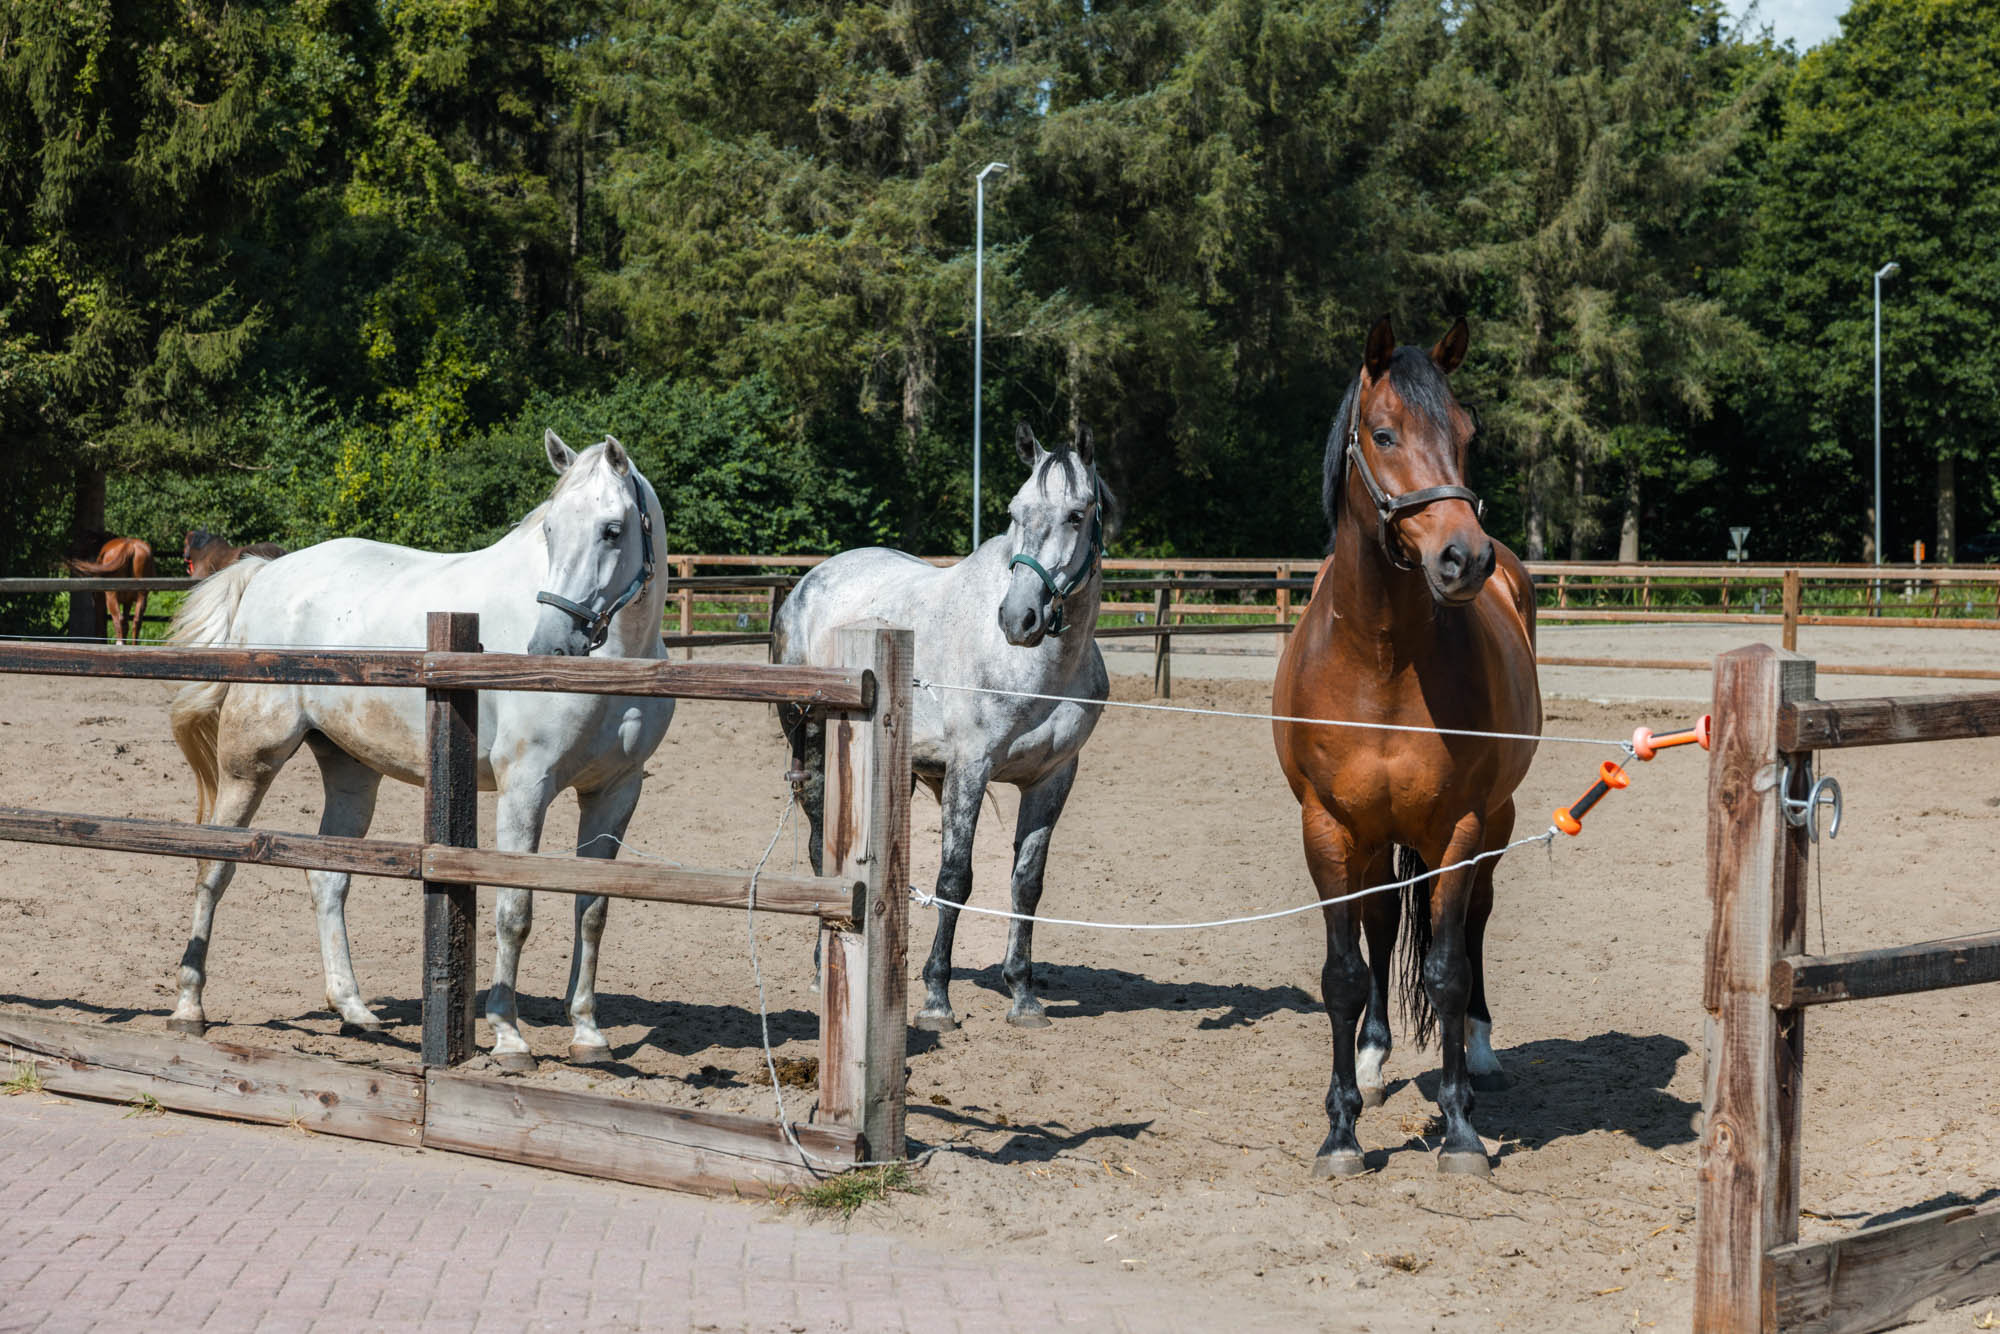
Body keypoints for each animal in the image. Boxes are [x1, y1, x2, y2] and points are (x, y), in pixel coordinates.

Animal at [165, 432, 673, 1068]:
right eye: (551, 530)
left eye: (611, 529)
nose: (550, 647)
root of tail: (266, 573)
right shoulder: (525, 787)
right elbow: (515, 911)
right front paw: (508, 1035)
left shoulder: (614, 792)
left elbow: (593, 910)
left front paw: (587, 1033)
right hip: (250, 762)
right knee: (213, 867)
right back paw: (189, 1007)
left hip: (351, 770)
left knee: (327, 878)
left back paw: (354, 1010)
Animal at [773, 423, 1109, 1031]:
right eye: (1015, 510)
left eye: (1077, 514)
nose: (1018, 619)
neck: (1038, 671)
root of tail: (811, 581)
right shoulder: (969, 771)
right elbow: (955, 879)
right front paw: (935, 998)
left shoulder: (1053, 778)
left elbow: (1027, 882)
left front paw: (1023, 994)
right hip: (812, 747)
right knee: (817, 849)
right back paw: (820, 967)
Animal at [1272, 315, 1540, 1178]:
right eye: (1384, 433)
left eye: (1465, 434)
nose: (1465, 557)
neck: (1382, 659)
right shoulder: (1328, 828)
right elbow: (1343, 973)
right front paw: (1341, 1130)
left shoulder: (1457, 826)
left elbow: (1448, 971)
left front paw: (1459, 1129)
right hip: (1376, 837)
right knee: (1384, 923)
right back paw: (1373, 1057)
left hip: (1493, 823)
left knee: (1475, 920)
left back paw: (1481, 1052)